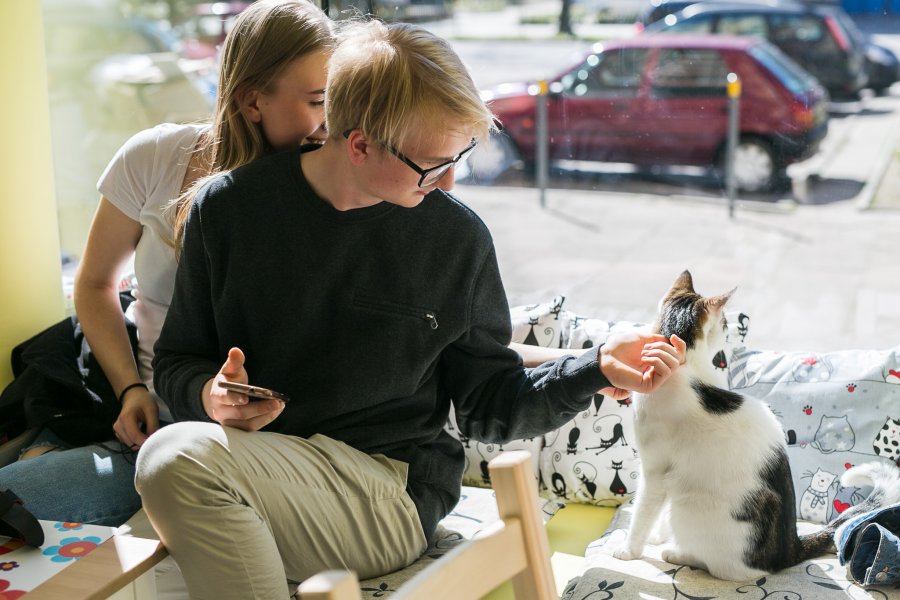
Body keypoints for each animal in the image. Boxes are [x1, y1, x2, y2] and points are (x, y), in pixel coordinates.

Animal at [616, 272, 900, 580]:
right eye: (724, 323)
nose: (728, 330)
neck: (686, 365)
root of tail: (789, 549)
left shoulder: (655, 471)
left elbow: (644, 513)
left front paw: (629, 550)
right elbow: (656, 515)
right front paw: (657, 536)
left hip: (690, 505)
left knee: (724, 567)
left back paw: (676, 553)